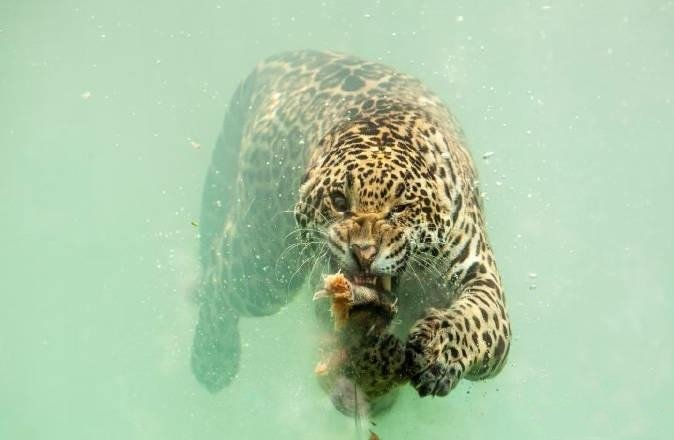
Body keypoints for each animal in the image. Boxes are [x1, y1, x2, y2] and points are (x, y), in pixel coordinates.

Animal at [190, 50, 511, 415]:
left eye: (400, 208)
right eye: (340, 201)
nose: (364, 253)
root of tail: (294, 56)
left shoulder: (481, 278)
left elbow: (475, 320)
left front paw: (435, 351)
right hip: (264, 266)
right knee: (217, 276)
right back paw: (213, 360)